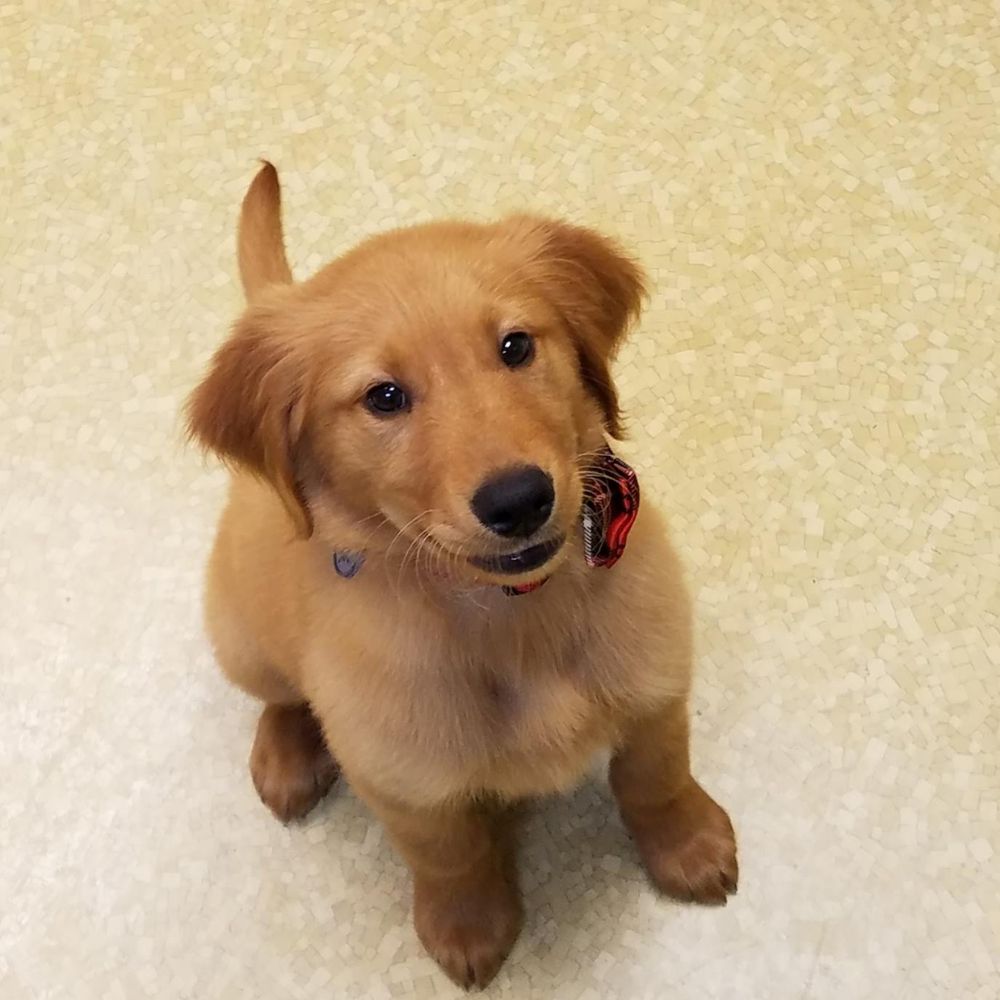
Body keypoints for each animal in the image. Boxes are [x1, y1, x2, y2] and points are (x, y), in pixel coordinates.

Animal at [186, 162, 736, 984]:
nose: (519, 499)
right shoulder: (405, 780)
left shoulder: (654, 677)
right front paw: (468, 926)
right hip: (242, 638)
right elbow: (452, 856)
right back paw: (287, 754)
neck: (511, 610)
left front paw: (689, 844)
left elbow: (656, 776)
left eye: (515, 346)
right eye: (383, 397)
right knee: (281, 696)